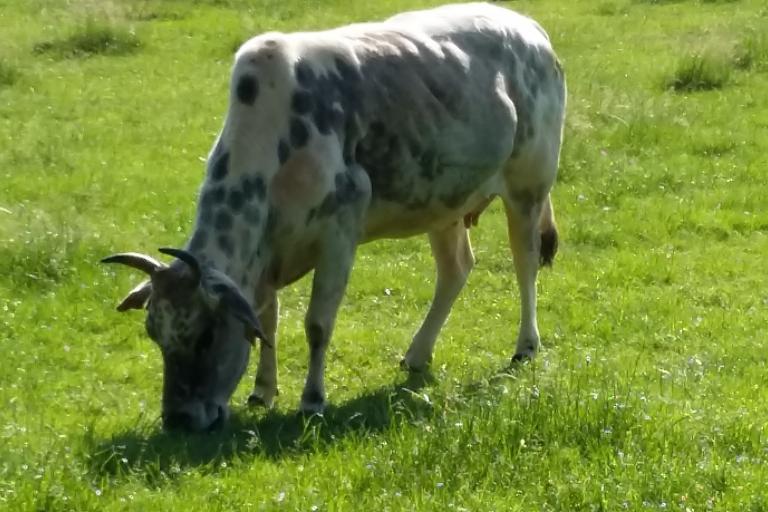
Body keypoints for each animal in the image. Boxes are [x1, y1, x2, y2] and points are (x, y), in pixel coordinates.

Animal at [103, 3, 564, 432]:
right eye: (154, 333)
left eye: (205, 336)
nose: (178, 420)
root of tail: (530, 27)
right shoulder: (267, 254)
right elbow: (267, 319)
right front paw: (263, 391)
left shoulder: (339, 233)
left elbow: (318, 324)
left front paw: (312, 399)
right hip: (444, 201)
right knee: (456, 270)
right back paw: (418, 354)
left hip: (528, 186)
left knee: (524, 263)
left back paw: (525, 345)